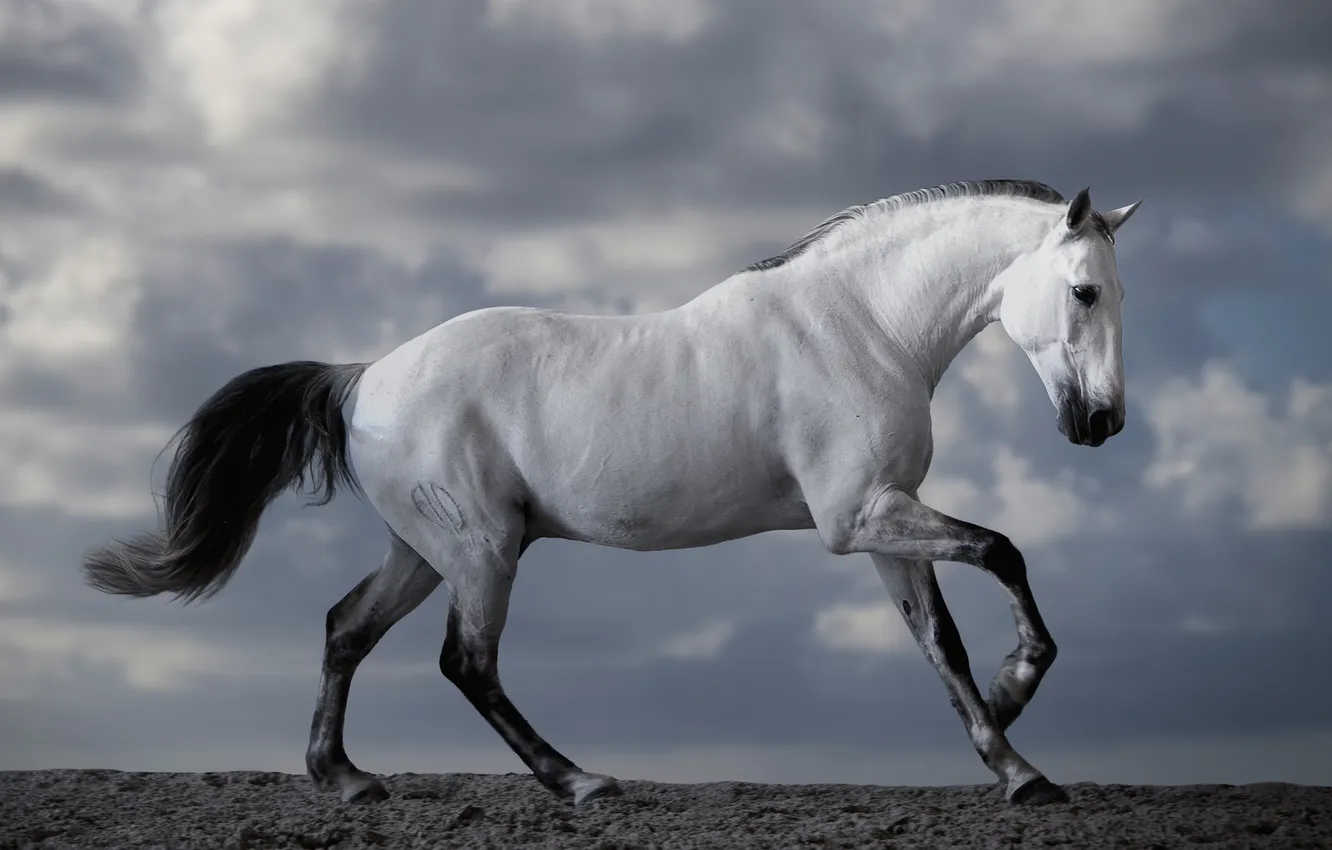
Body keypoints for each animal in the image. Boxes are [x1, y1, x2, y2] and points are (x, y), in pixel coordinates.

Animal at [84, 179, 1142, 808]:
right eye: (1085, 291)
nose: (1102, 422)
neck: (859, 324)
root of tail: (362, 380)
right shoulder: (858, 520)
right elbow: (1004, 549)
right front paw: (1016, 697)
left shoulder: (883, 522)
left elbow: (940, 643)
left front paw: (1016, 764)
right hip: (482, 553)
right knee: (466, 662)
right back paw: (579, 780)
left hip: (426, 551)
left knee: (348, 627)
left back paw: (344, 778)